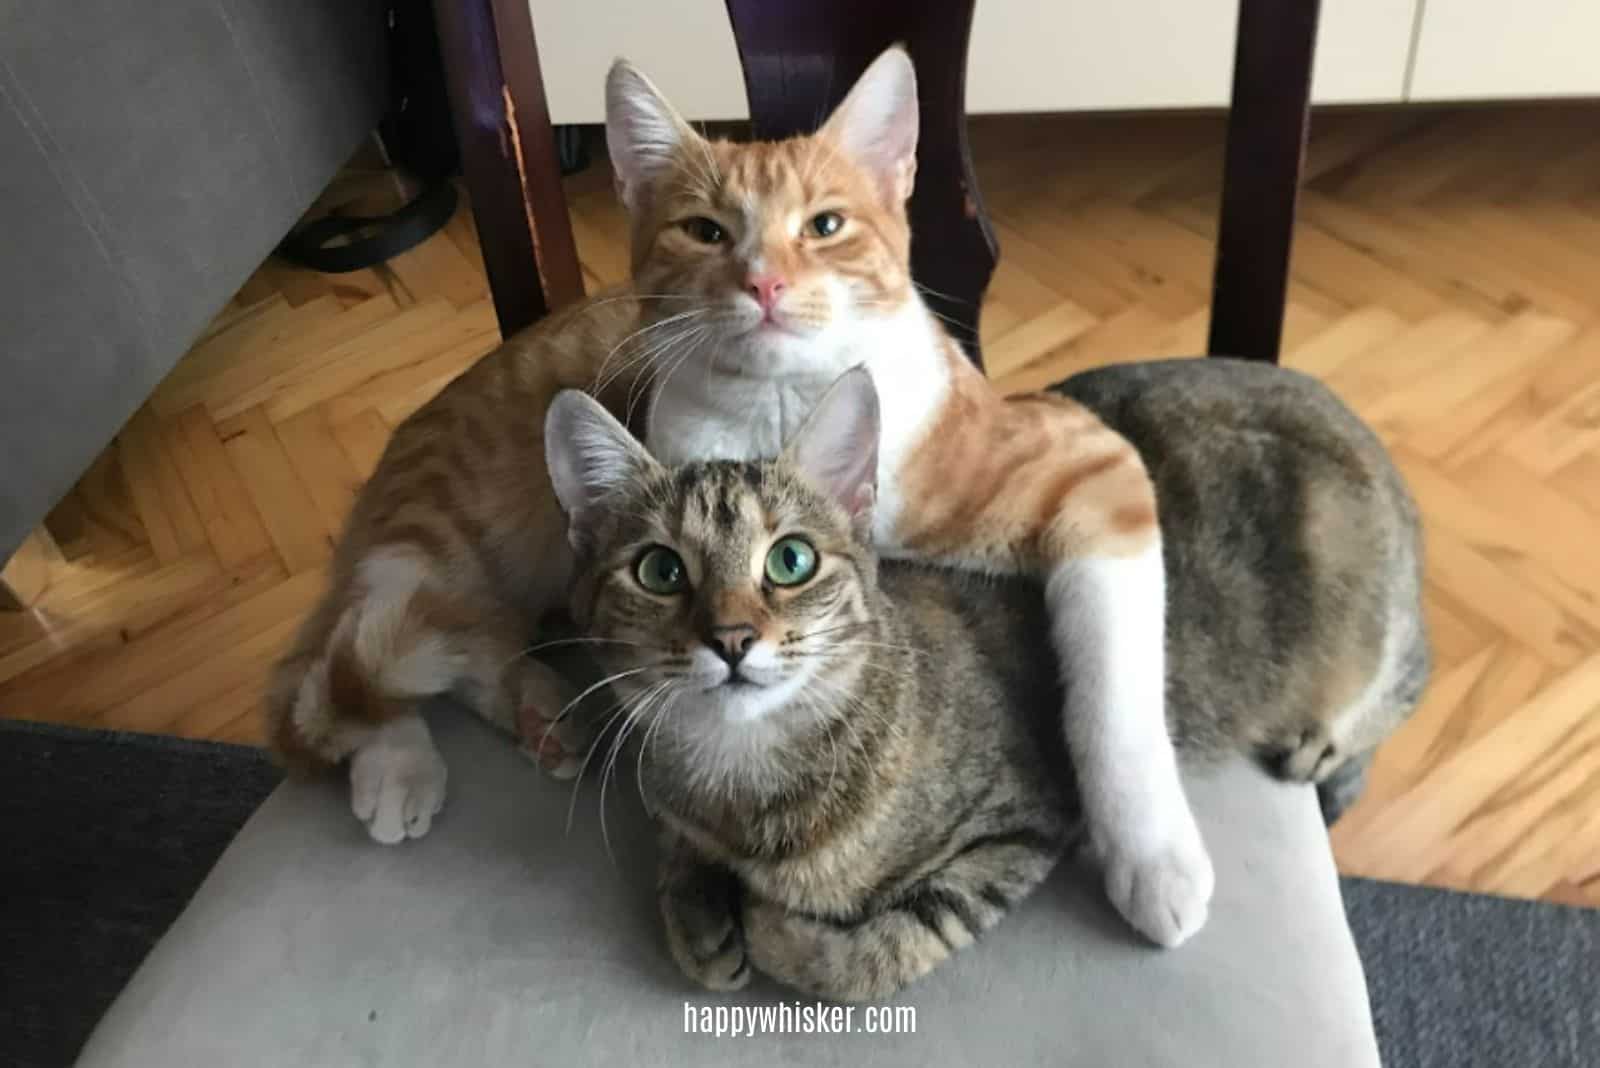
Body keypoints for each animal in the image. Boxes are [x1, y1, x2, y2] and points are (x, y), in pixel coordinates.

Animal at [265, 49, 1209, 946]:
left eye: (824, 226)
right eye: (705, 231)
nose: (764, 284)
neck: (781, 407)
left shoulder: (1088, 465)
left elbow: (1112, 689)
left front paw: (1153, 856)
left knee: (448, 644)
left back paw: (534, 713)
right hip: (448, 531)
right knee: (355, 654)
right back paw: (399, 760)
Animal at [544, 358, 1433, 1004]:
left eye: (790, 560)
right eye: (660, 571)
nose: (730, 639)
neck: (746, 777)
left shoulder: (1022, 821)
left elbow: (881, 953)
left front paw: (770, 929)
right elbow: (678, 850)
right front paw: (699, 917)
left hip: (1369, 630)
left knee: (1399, 688)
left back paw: (1326, 748)